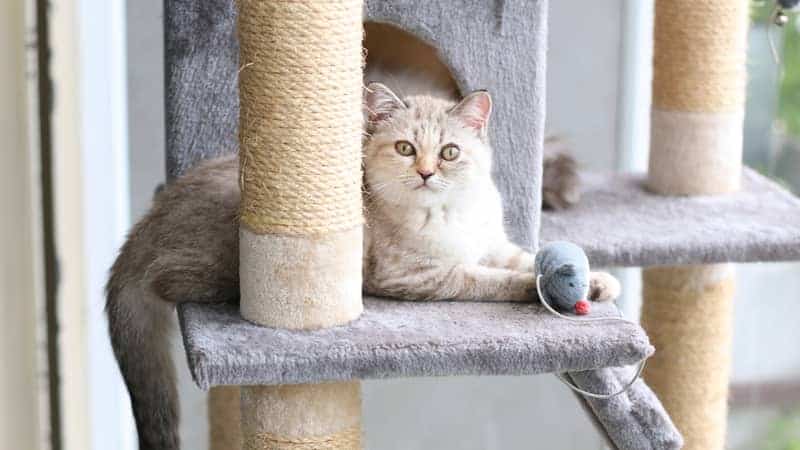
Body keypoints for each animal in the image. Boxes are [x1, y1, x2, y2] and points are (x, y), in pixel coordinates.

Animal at [106, 72, 620, 448]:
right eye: (405, 148)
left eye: (450, 151)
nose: (426, 172)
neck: (450, 213)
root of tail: (143, 229)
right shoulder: (419, 275)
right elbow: (493, 280)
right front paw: (546, 290)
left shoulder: (493, 243)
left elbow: (527, 258)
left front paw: (595, 281)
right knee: (171, 281)